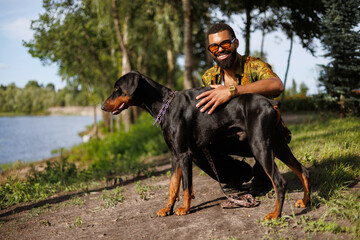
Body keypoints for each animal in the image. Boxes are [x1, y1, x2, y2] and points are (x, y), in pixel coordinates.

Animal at [101, 71, 310, 219]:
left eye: (117, 88)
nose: (102, 107)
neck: (165, 105)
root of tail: (269, 103)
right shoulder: (175, 155)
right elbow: (173, 186)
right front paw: (167, 209)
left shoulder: (184, 154)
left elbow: (186, 186)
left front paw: (184, 208)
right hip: (278, 144)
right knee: (303, 170)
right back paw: (305, 201)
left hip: (260, 145)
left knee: (279, 182)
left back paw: (275, 214)